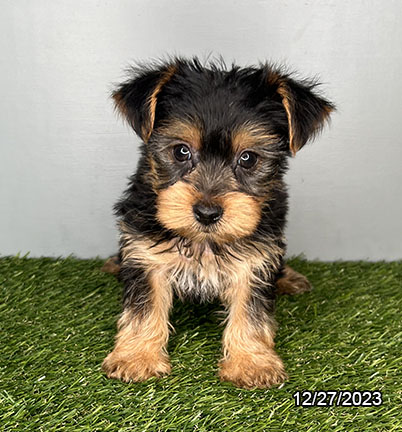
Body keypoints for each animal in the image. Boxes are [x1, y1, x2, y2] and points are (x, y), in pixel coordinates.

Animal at [102, 55, 334, 390]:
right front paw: (137, 357)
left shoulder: (255, 258)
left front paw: (251, 362)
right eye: (181, 151)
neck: (203, 241)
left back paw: (289, 277)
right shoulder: (146, 253)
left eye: (248, 158)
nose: (207, 213)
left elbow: (250, 311)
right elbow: (144, 306)